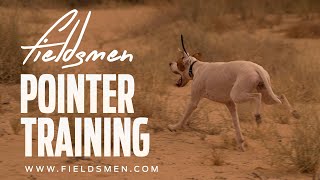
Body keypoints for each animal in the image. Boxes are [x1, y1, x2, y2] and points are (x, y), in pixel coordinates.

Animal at [169, 34, 298, 151]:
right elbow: (236, 124)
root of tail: (256, 68)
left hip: (238, 95)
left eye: (178, 63)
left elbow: (184, 117)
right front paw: (240, 143)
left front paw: (174, 127)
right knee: (281, 96)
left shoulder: (193, 101)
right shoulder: (230, 104)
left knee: (257, 96)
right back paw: (294, 113)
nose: (170, 63)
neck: (195, 67)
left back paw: (258, 116)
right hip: (266, 95)